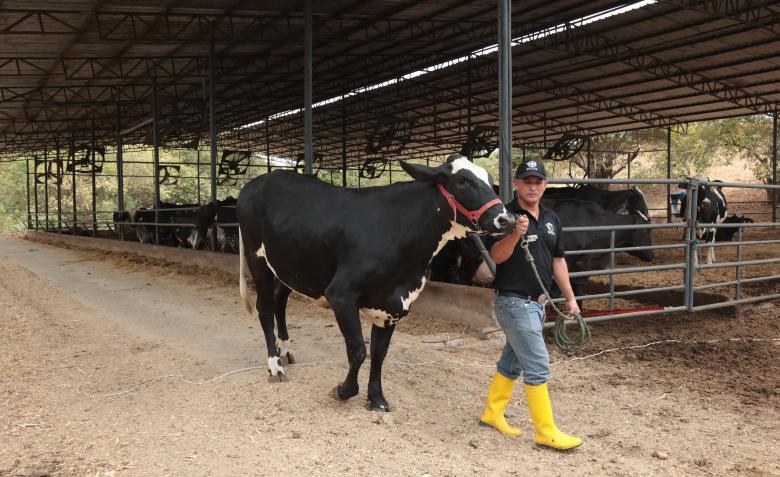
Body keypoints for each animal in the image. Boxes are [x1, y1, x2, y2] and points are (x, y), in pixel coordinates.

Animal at [238, 154, 516, 410]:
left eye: (489, 180)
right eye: (463, 181)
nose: (508, 220)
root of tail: (259, 181)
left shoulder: (395, 304)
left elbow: (379, 353)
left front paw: (377, 399)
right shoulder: (340, 294)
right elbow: (358, 350)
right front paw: (343, 390)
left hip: (287, 267)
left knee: (279, 303)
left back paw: (284, 350)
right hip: (256, 258)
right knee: (264, 309)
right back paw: (275, 365)